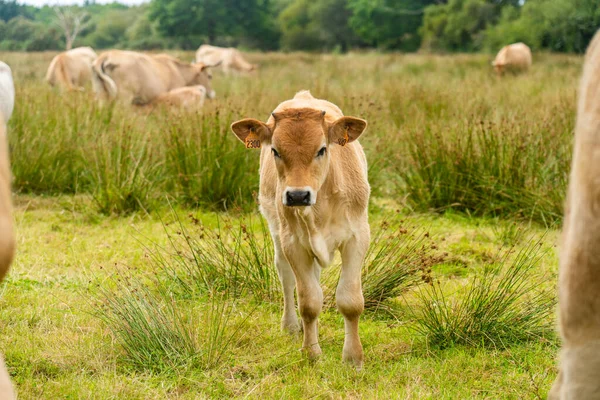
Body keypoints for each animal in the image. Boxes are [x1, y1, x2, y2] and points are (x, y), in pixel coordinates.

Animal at [231, 90, 368, 368]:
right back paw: (293, 327)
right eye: (275, 150)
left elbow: (350, 301)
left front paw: (353, 357)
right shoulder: (293, 243)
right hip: (279, 234)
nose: (297, 196)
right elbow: (309, 302)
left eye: (322, 149)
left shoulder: (357, 237)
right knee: (286, 277)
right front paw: (311, 352)